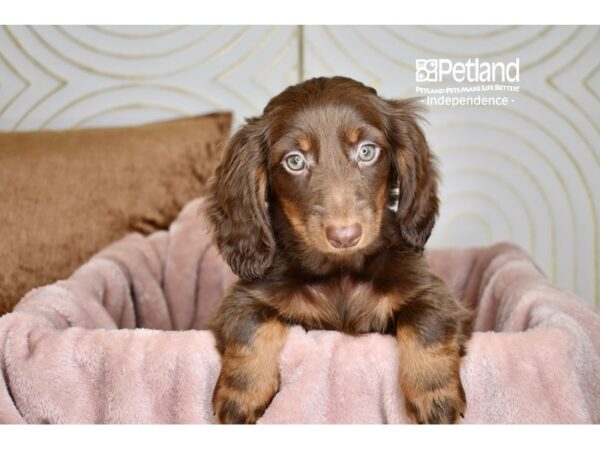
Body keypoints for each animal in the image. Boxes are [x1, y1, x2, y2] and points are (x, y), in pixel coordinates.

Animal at [206, 75, 474, 424]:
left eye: (367, 151)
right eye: (295, 161)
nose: (345, 236)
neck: (339, 271)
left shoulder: (433, 292)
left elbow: (426, 322)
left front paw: (435, 394)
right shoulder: (243, 296)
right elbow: (248, 326)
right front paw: (241, 395)